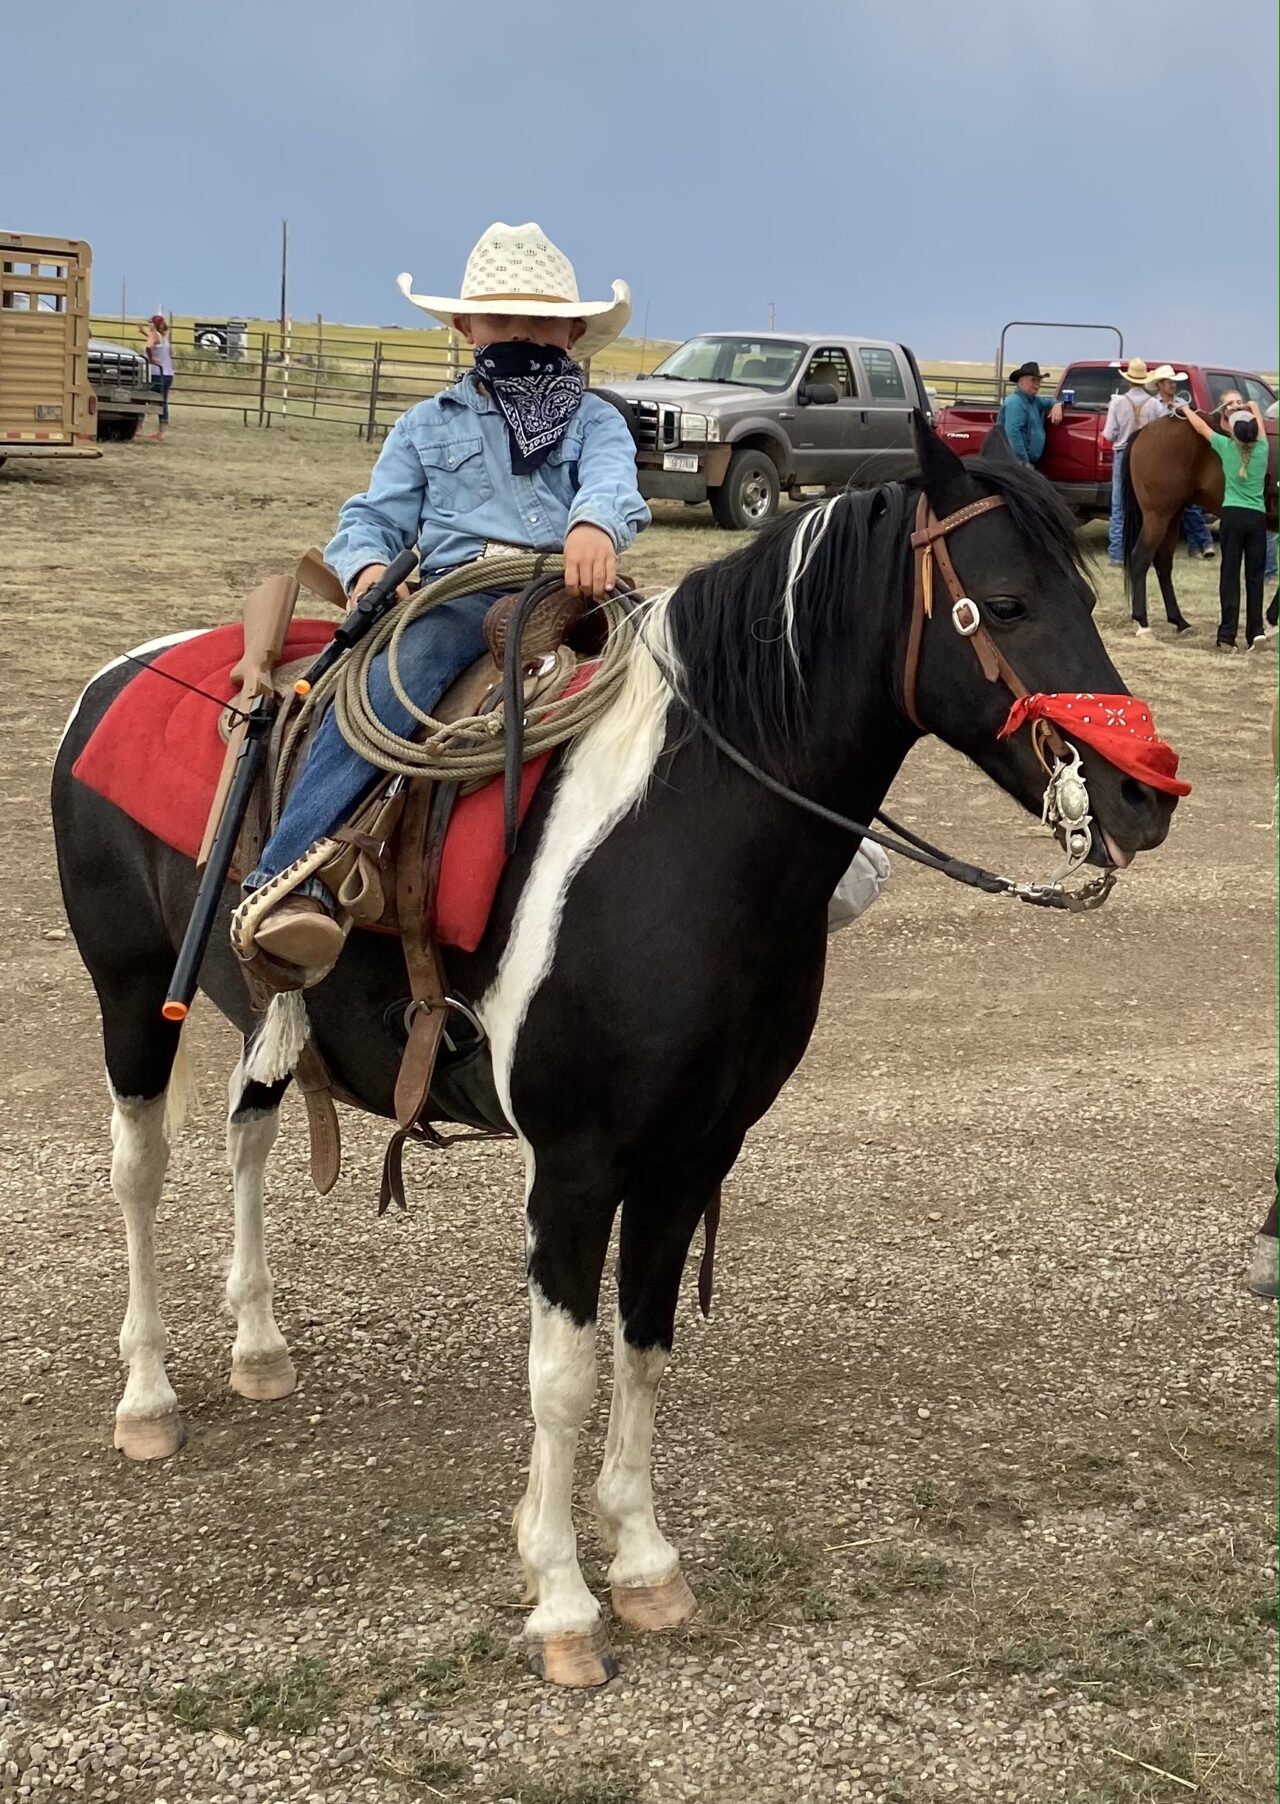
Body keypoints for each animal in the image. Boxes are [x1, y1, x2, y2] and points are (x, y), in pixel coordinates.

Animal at [51, 418, 1177, 1687]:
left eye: (1086, 592)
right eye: (1006, 601)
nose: (1141, 796)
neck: (679, 840)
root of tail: (120, 675)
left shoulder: (693, 1154)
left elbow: (642, 1344)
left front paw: (641, 1562)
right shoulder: (576, 1165)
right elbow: (562, 1374)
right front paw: (560, 1600)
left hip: (264, 1014)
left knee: (246, 1138)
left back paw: (256, 1343)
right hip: (133, 997)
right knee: (139, 1175)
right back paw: (149, 1396)